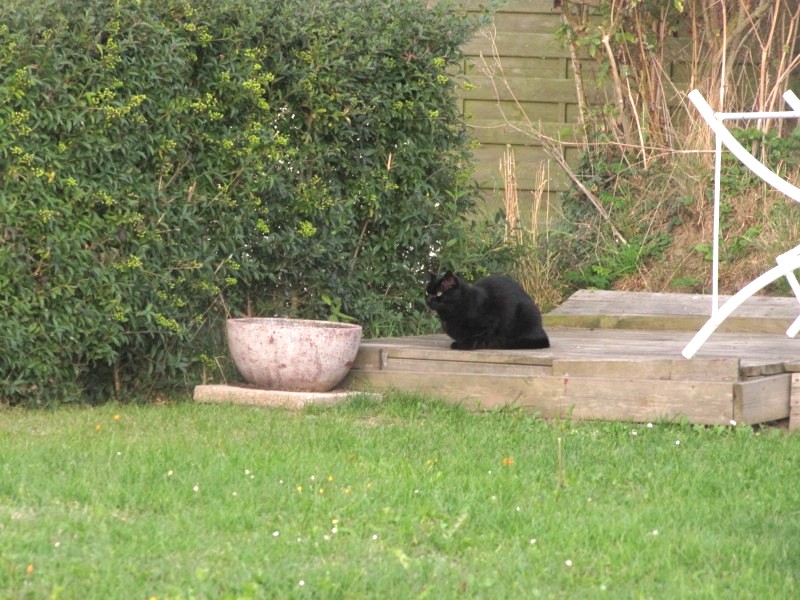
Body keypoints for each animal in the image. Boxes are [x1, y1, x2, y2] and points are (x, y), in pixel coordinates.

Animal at [424, 274, 552, 352]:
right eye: (427, 292)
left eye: (439, 293)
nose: (429, 299)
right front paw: (458, 343)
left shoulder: (490, 322)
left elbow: (478, 335)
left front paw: (466, 345)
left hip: (526, 312)